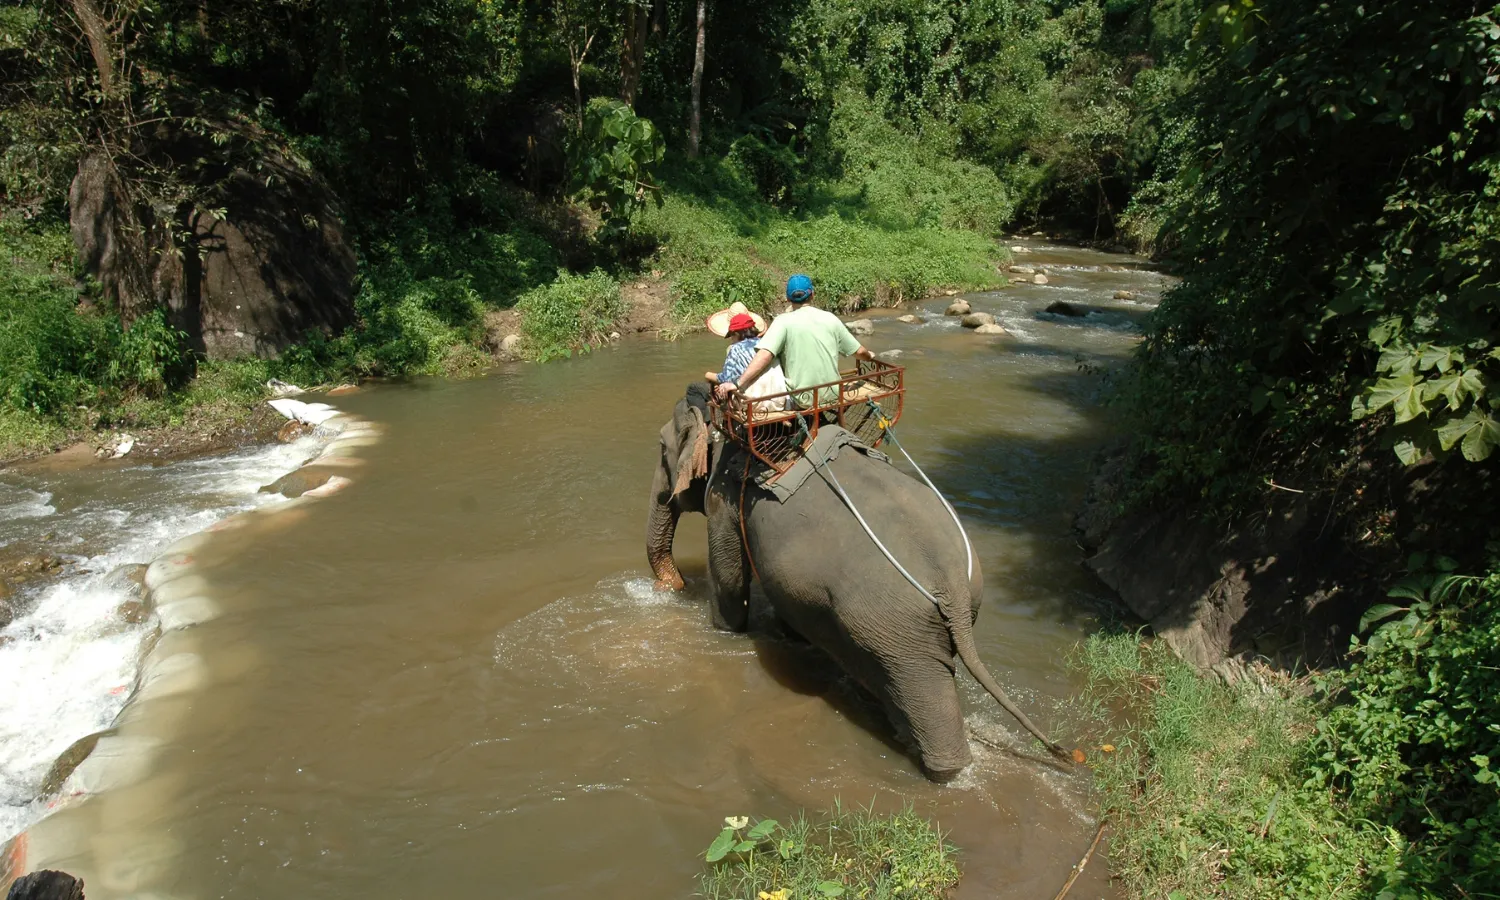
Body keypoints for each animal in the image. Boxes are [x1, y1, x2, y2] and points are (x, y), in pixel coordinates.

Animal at [645, 393, 1068, 780]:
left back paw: (946, 774)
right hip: (907, 636)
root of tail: (953, 591)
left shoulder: (726, 499)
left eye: (661, 448)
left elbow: (731, 584)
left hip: (895, 629)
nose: (675, 584)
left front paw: (724, 631)